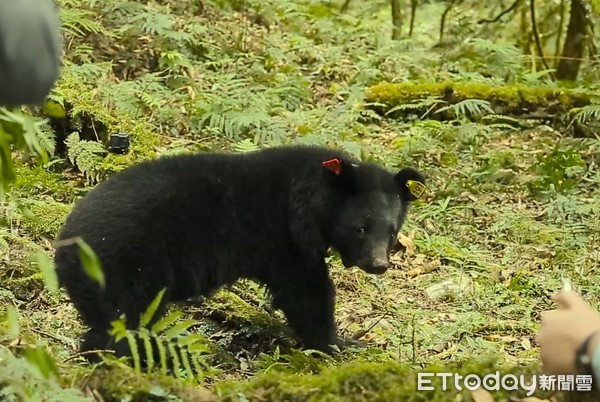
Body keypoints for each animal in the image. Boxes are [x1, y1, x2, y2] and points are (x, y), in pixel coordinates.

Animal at [54, 144, 424, 354]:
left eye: (392, 232)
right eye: (360, 228)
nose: (378, 264)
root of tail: (64, 247)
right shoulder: (285, 240)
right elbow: (307, 293)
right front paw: (342, 343)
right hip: (129, 267)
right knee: (128, 321)